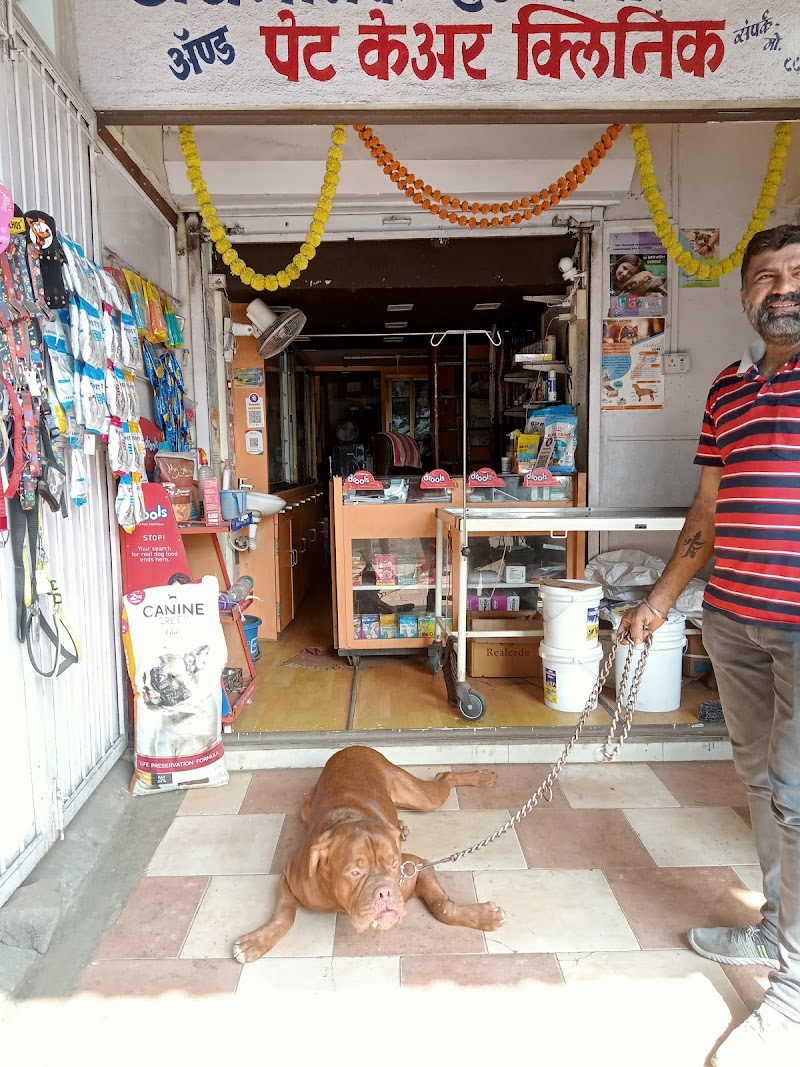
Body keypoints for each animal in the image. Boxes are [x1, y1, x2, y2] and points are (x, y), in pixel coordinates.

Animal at [233, 746, 506, 963]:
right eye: (355, 872)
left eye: (394, 865)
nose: (384, 893)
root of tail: (351, 747)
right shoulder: (290, 877)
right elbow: (284, 914)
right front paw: (256, 942)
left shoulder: (417, 866)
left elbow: (443, 907)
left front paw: (482, 916)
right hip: (306, 809)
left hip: (421, 797)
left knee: (444, 776)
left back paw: (481, 777)